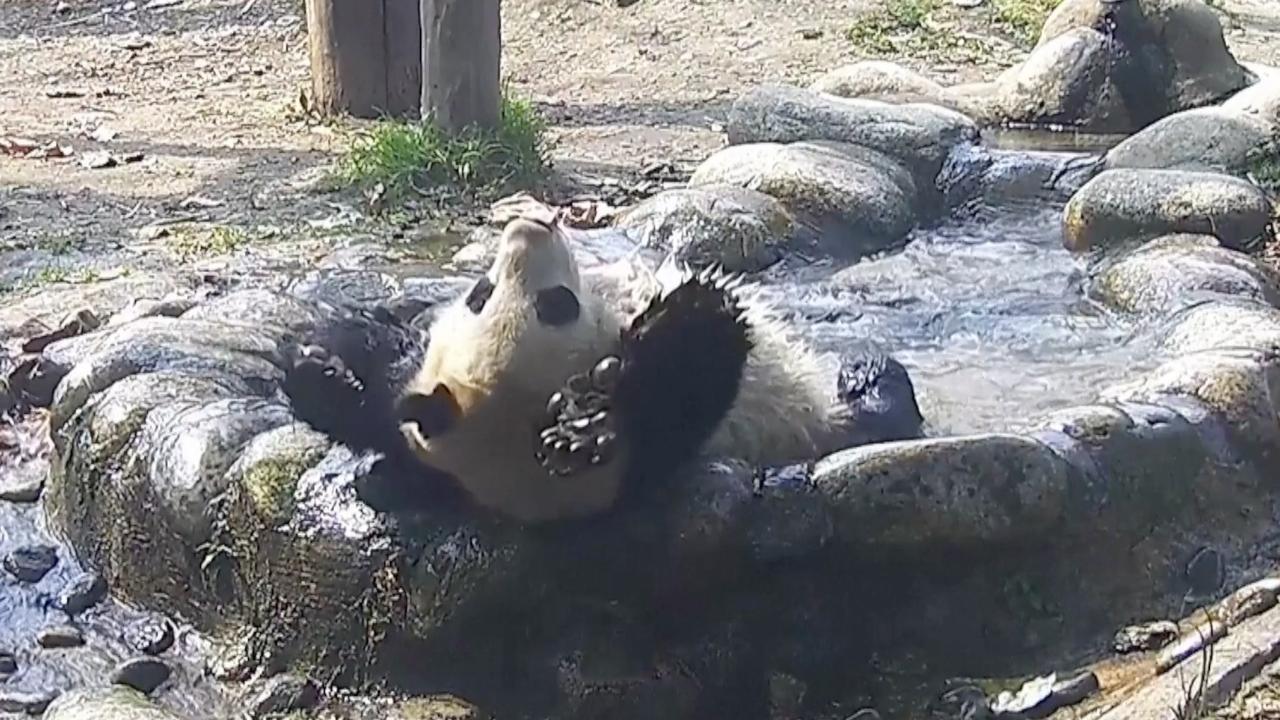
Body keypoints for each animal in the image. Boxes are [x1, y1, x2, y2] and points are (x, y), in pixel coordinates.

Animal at [280, 204, 926, 525]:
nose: (529, 224)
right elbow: (689, 380)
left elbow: (387, 394)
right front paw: (690, 312)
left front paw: (323, 370)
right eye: (555, 304)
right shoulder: (678, 440)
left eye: (479, 295)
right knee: (883, 402)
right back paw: (866, 375)